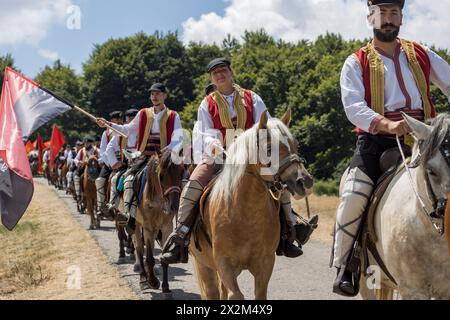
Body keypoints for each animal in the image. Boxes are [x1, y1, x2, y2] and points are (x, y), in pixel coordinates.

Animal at [132, 150, 185, 296]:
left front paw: (166, 287)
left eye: (181, 172)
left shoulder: (167, 227)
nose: (174, 206)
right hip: (137, 225)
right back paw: (143, 279)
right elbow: (149, 257)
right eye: (161, 176)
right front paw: (153, 282)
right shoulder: (148, 228)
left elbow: (164, 257)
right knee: (139, 248)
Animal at [192, 110, 314, 300]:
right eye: (269, 149)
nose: (305, 182)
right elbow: (235, 295)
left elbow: (259, 293)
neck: (245, 213)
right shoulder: (224, 264)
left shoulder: (265, 263)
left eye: (296, 145)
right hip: (204, 266)